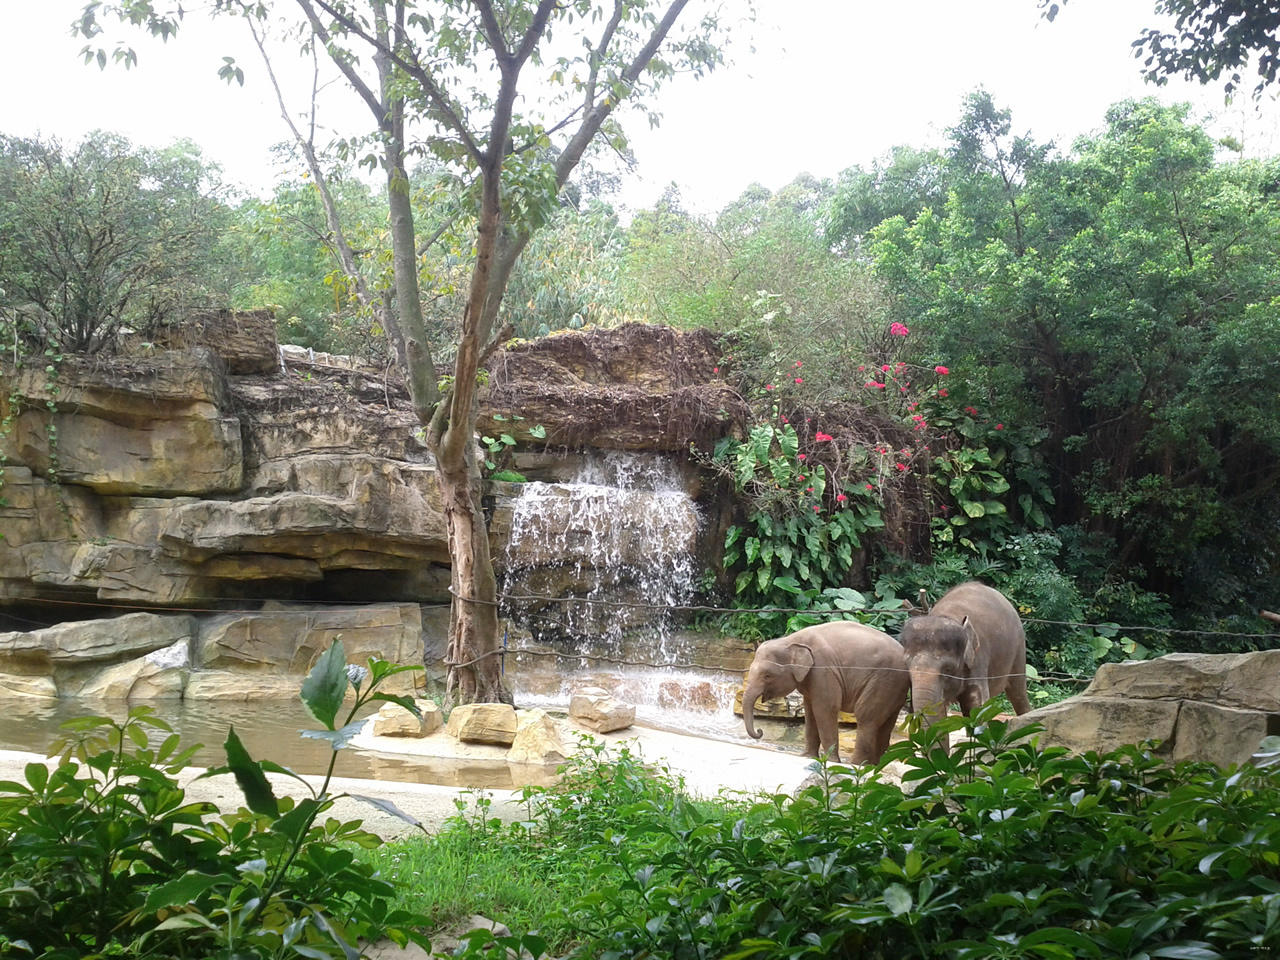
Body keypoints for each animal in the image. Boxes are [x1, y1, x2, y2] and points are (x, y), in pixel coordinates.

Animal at [742, 624, 911, 768]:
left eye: (767, 676)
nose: (760, 731)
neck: (790, 640)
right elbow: (810, 712)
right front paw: (807, 757)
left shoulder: (823, 670)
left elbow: (825, 709)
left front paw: (831, 761)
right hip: (894, 688)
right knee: (885, 725)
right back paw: (875, 766)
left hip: (883, 680)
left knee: (866, 716)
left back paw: (855, 764)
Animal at [896, 578, 1034, 742]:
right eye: (906, 666)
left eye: (948, 669)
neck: (946, 616)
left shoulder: (978, 659)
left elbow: (977, 705)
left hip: (1018, 648)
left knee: (1018, 693)